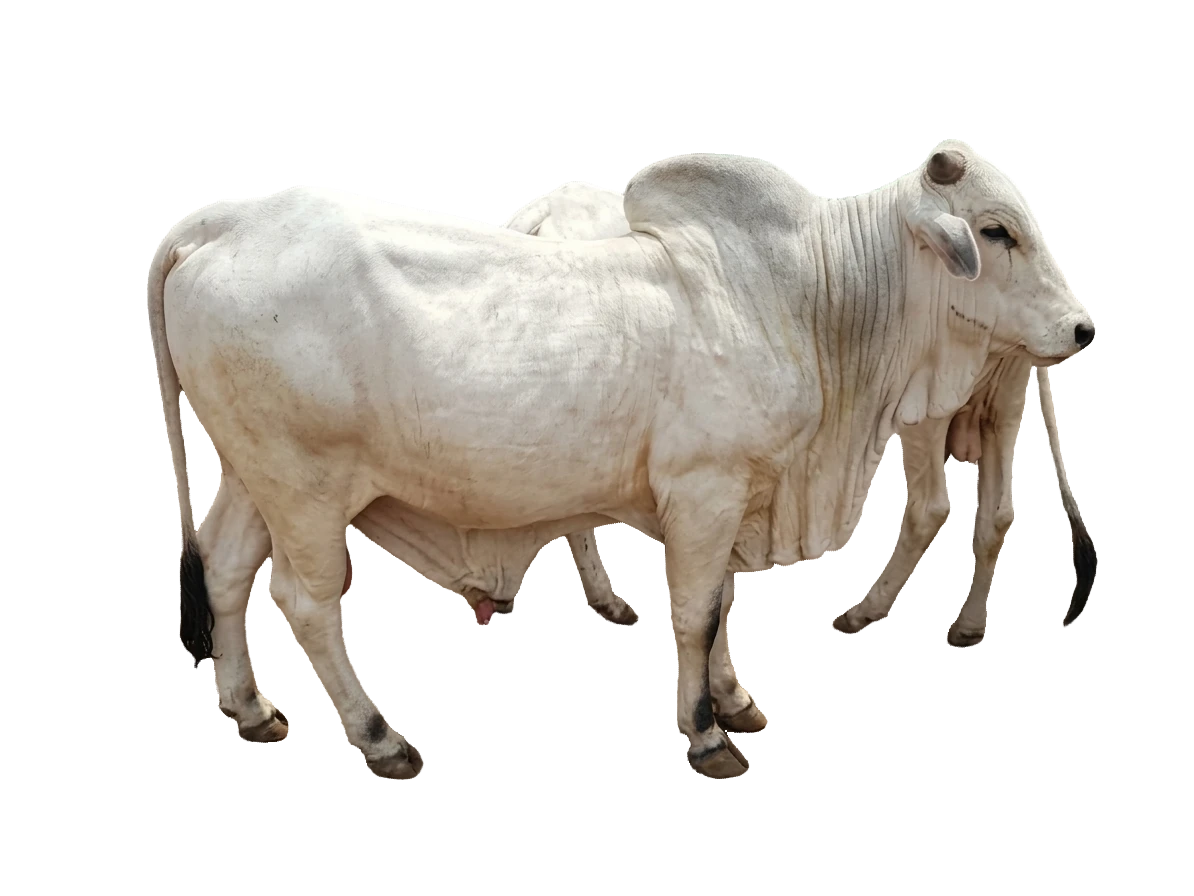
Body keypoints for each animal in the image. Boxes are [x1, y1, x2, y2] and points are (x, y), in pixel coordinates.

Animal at [503, 182, 1096, 651]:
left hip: (1000, 407)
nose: (1078, 329)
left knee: (987, 513)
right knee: (950, 509)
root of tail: (542, 211)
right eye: (995, 231)